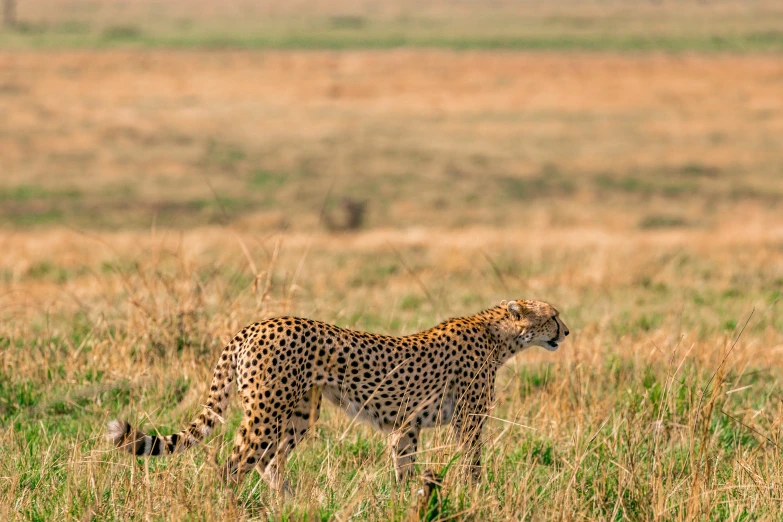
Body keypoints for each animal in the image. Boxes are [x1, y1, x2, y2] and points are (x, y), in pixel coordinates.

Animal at [107, 298, 568, 490]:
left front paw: (405, 501)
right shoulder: (468, 420)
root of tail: (255, 325)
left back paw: (291, 505)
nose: (567, 330)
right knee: (233, 465)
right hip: (266, 413)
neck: (500, 333)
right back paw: (229, 507)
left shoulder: (405, 426)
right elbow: (472, 464)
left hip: (298, 413)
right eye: (554, 315)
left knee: (269, 463)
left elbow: (404, 468)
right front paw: (476, 495)